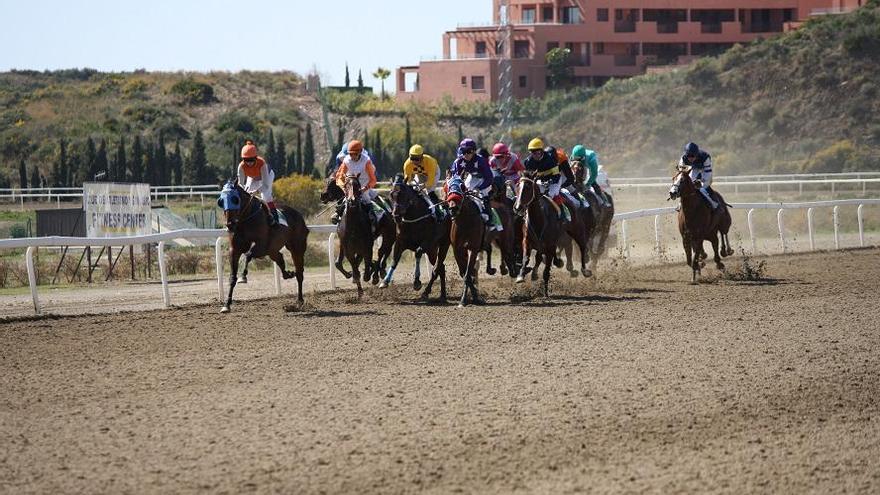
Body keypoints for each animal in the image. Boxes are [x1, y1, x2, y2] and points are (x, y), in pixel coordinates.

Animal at [218, 180, 308, 314]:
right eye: (221, 201)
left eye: (235, 199)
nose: (230, 224)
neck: (245, 219)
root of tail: (298, 215)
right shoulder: (234, 250)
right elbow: (232, 277)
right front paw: (226, 305)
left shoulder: (262, 246)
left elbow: (248, 255)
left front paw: (243, 276)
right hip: (273, 250)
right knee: (280, 258)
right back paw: (288, 274)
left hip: (296, 248)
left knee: (300, 273)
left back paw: (299, 301)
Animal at [378, 173, 450, 302]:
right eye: (391, 194)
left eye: (403, 194)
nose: (396, 215)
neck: (413, 218)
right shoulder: (400, 243)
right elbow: (395, 260)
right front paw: (385, 281)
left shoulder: (426, 243)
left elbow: (417, 253)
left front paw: (417, 282)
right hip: (432, 250)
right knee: (440, 268)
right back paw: (442, 294)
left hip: (443, 245)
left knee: (437, 268)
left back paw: (427, 292)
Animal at [446, 174, 488, 306]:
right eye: (449, 187)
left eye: (462, 187)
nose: (453, 208)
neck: (465, 221)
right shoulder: (457, 249)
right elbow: (464, 273)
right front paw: (472, 297)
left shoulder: (472, 248)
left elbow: (468, 272)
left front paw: (468, 299)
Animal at [512, 170, 568, 298]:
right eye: (517, 186)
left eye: (528, 187)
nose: (517, 208)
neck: (539, 219)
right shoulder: (526, 242)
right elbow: (526, 259)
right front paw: (520, 276)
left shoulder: (550, 246)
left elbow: (546, 270)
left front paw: (546, 292)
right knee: (538, 257)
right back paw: (534, 274)